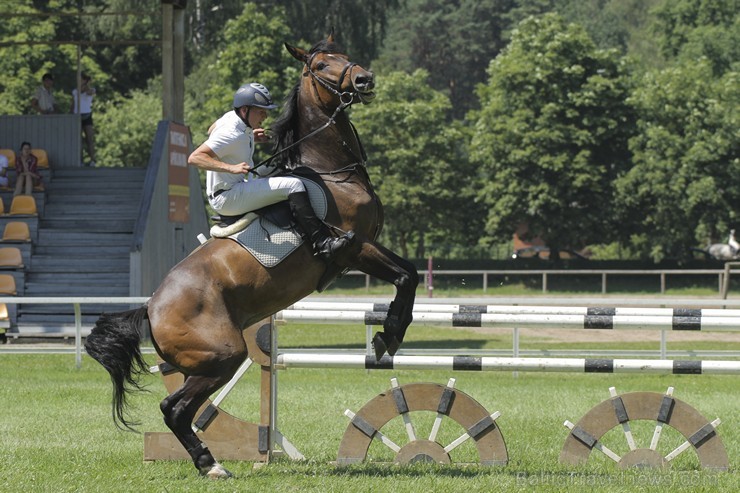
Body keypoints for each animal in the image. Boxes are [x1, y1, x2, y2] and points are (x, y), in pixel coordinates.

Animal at [84, 33, 420, 476]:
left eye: (344, 56)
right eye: (322, 66)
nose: (364, 80)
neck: (331, 172)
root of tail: (150, 308)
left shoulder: (367, 245)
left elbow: (409, 272)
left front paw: (389, 334)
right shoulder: (354, 247)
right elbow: (405, 276)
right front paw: (389, 335)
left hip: (209, 363)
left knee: (176, 408)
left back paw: (207, 462)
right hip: (223, 356)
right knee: (176, 409)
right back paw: (211, 465)